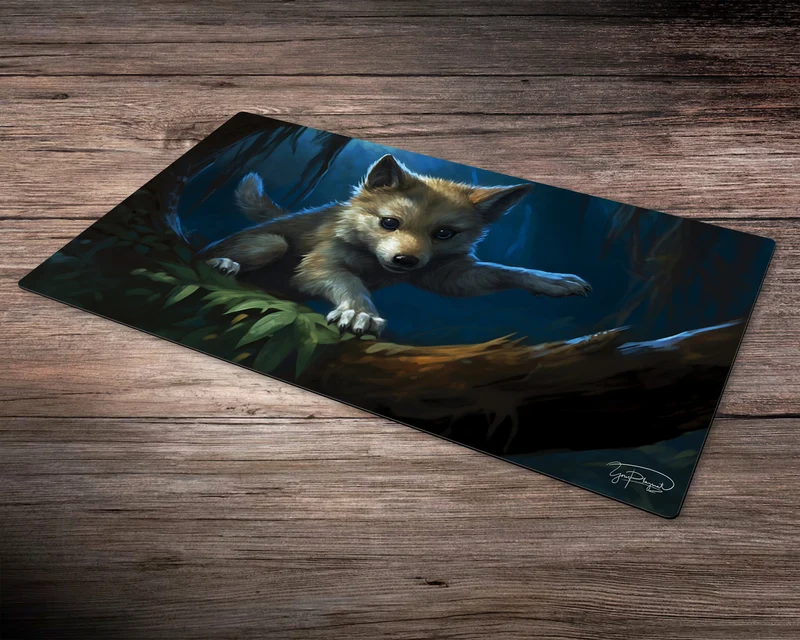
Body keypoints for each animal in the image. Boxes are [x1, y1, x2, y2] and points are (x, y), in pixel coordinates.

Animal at [193, 154, 591, 335]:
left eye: (444, 233)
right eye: (389, 223)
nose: (404, 261)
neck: (372, 262)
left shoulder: (446, 276)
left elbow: (505, 270)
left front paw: (553, 281)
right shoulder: (319, 266)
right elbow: (349, 282)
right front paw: (360, 313)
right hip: (270, 243)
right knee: (217, 253)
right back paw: (225, 264)